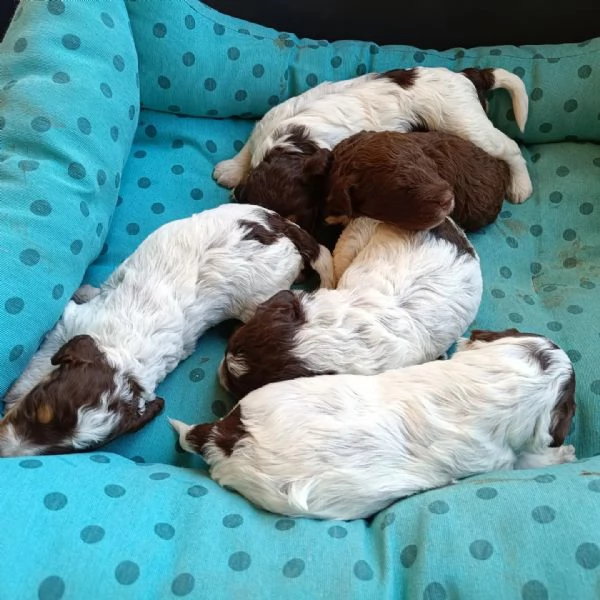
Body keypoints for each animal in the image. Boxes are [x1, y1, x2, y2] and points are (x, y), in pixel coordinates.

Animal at [0, 204, 332, 458]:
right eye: (37, 408)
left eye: (63, 451)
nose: (6, 454)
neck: (126, 359)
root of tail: (285, 228)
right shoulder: (71, 323)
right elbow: (42, 357)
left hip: (259, 296)